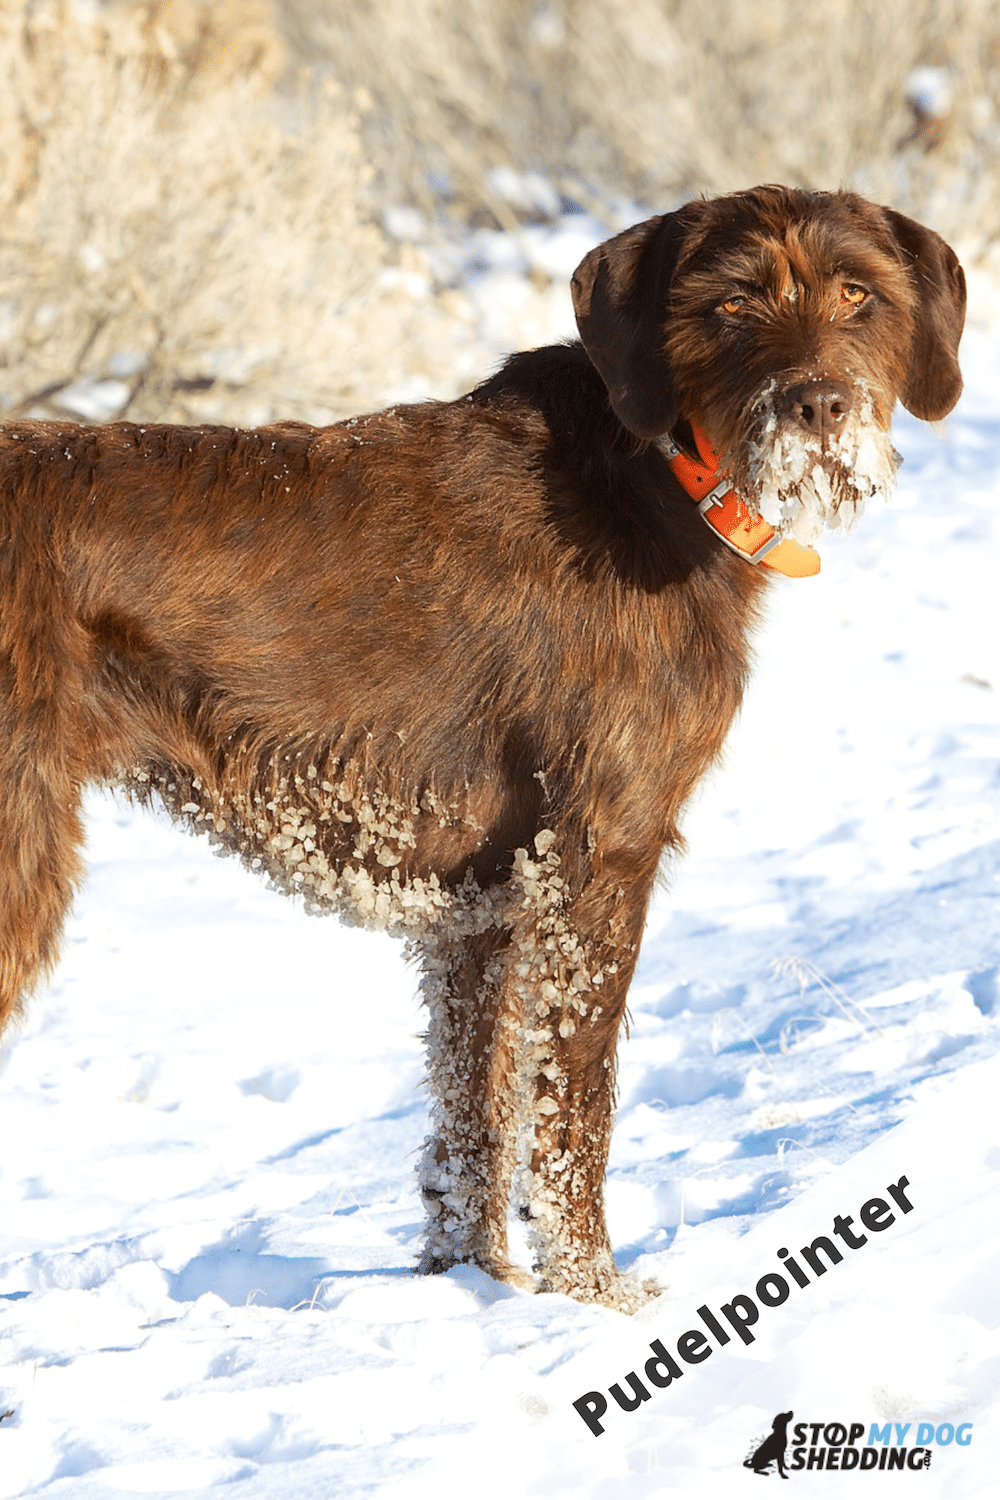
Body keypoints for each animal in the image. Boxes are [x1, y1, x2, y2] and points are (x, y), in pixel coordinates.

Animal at [0, 190, 971, 1314]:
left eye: (860, 293)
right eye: (731, 303)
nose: (815, 406)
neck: (657, 475)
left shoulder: (484, 905)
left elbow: (477, 1117)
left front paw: (473, 1283)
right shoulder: (597, 862)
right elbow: (573, 1106)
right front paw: (595, 1295)